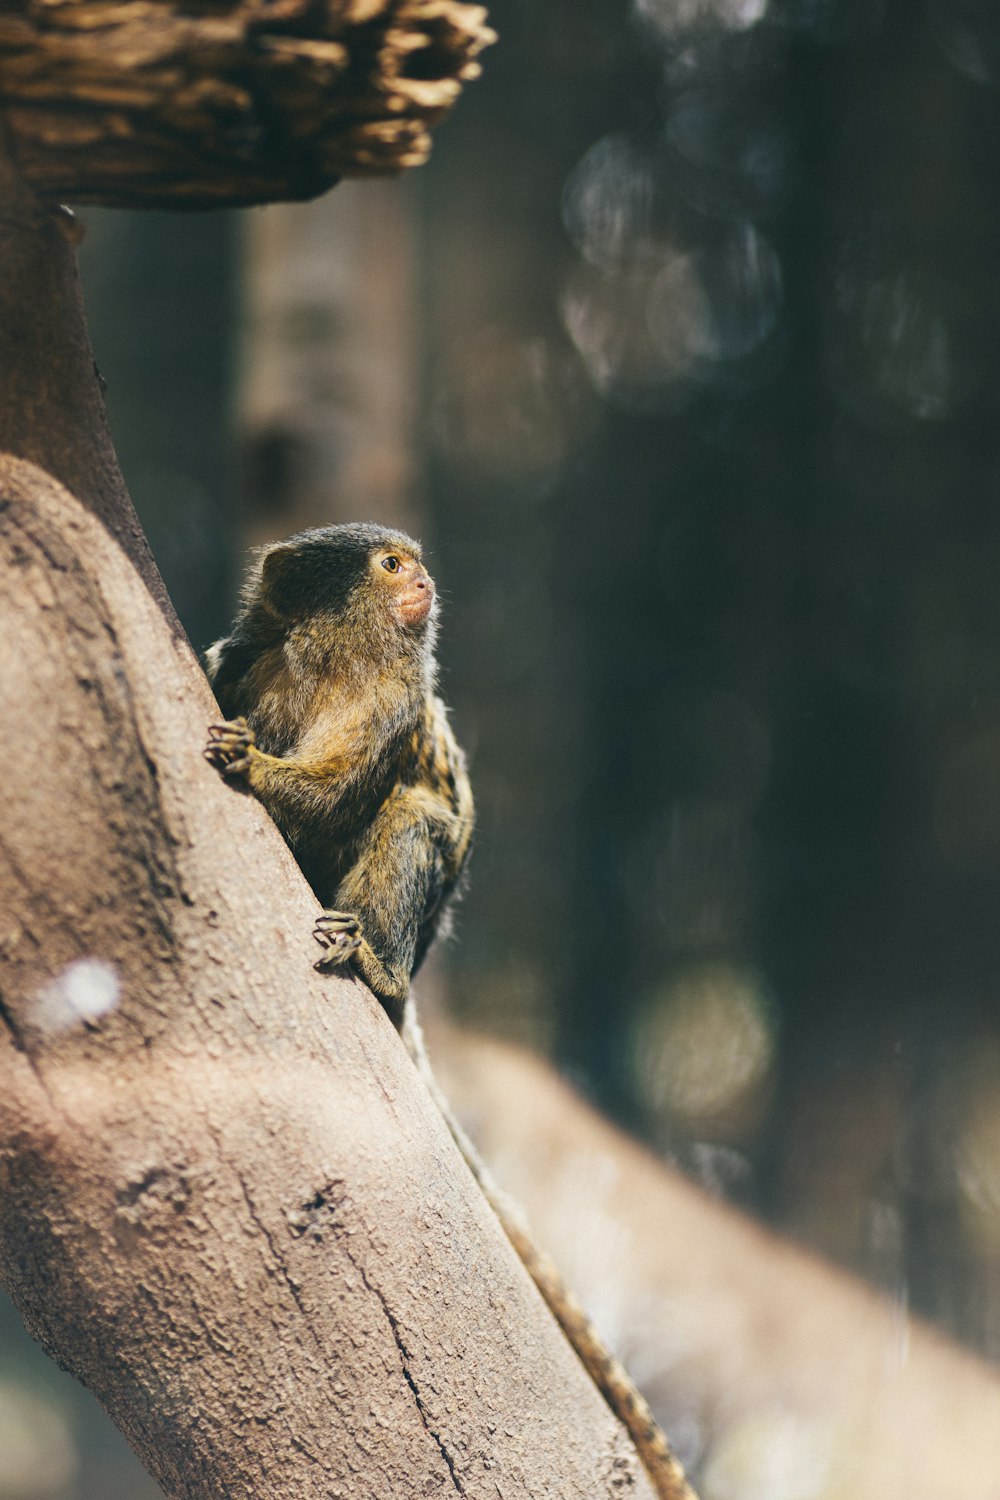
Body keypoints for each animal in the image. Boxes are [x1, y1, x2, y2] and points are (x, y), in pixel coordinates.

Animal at [206, 525, 695, 1500]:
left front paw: (258, 768)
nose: (424, 581)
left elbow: (342, 791)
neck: (324, 659)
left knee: (414, 818)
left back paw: (378, 967)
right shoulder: (247, 655)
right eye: (390, 565)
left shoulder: (392, 706)